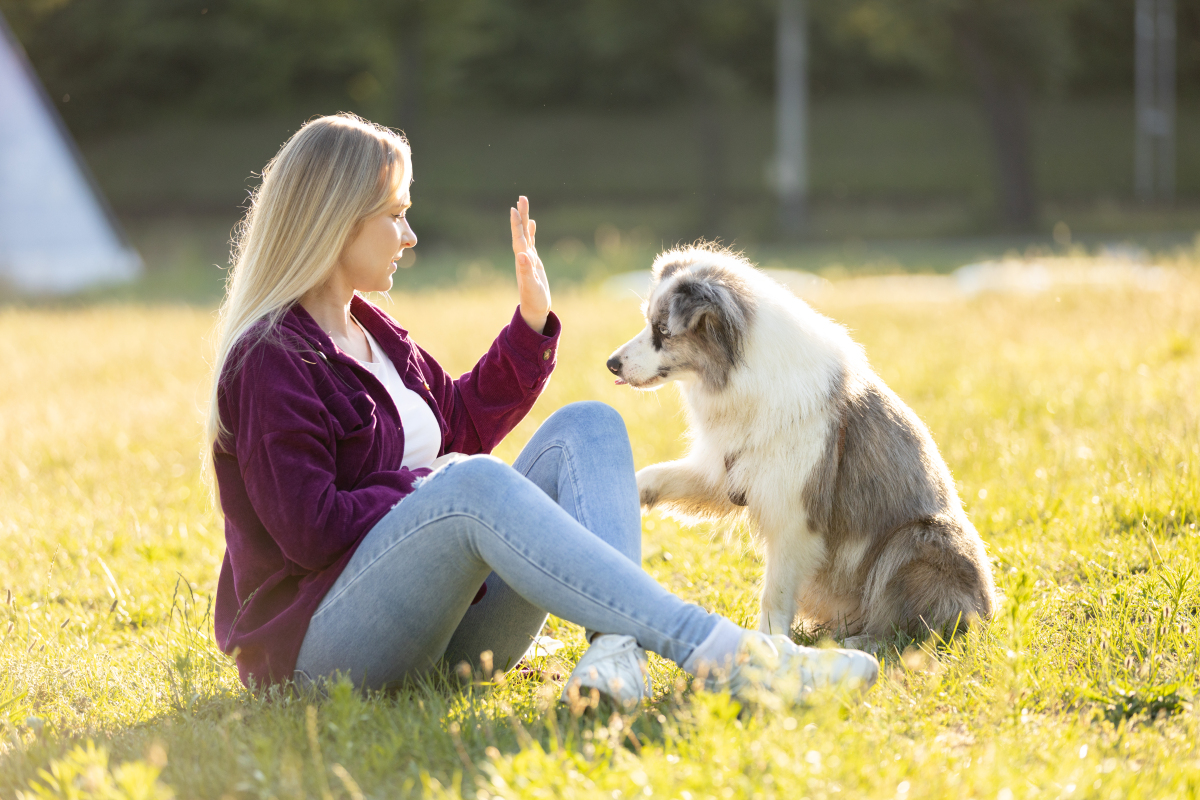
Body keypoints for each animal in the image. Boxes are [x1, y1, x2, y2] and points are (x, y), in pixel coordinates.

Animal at [609, 244, 993, 642]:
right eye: (649, 323)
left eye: (663, 330)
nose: (611, 364)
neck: (744, 376)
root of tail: (984, 615)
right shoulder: (729, 473)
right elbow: (657, 475)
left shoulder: (794, 516)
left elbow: (774, 592)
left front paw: (769, 642)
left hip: (917, 540)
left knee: (909, 628)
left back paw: (860, 643)